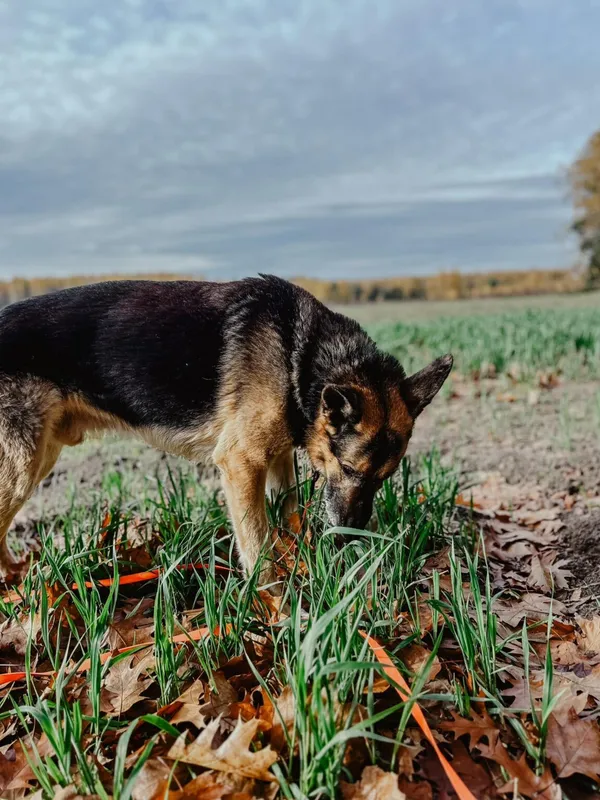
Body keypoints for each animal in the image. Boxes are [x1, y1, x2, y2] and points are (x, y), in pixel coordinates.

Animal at [0, 278, 452, 584]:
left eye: (383, 478)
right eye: (348, 468)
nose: (348, 538)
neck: (300, 355)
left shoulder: (277, 457)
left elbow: (288, 512)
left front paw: (301, 560)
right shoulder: (241, 463)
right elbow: (256, 541)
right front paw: (273, 600)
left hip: (40, 456)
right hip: (22, 467)